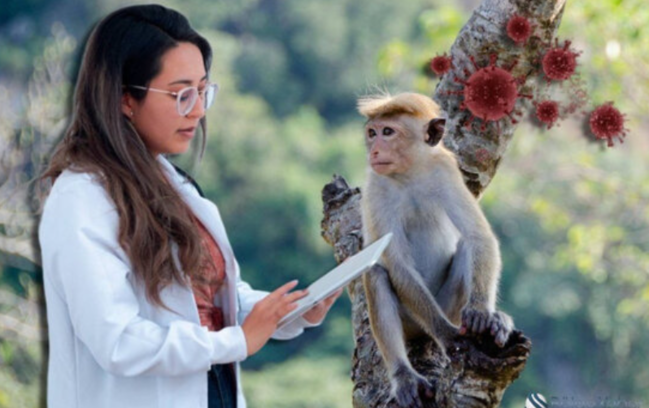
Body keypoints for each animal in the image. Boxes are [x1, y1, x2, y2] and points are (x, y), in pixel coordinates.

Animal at [356, 92, 512, 408]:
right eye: (372, 133)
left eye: (387, 132)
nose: (375, 150)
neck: (408, 174)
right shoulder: (376, 188)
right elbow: (398, 264)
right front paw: (447, 335)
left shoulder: (445, 171)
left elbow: (478, 236)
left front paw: (484, 313)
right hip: (412, 319)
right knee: (377, 272)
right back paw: (404, 376)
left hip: (448, 305)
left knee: (465, 248)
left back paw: (494, 319)